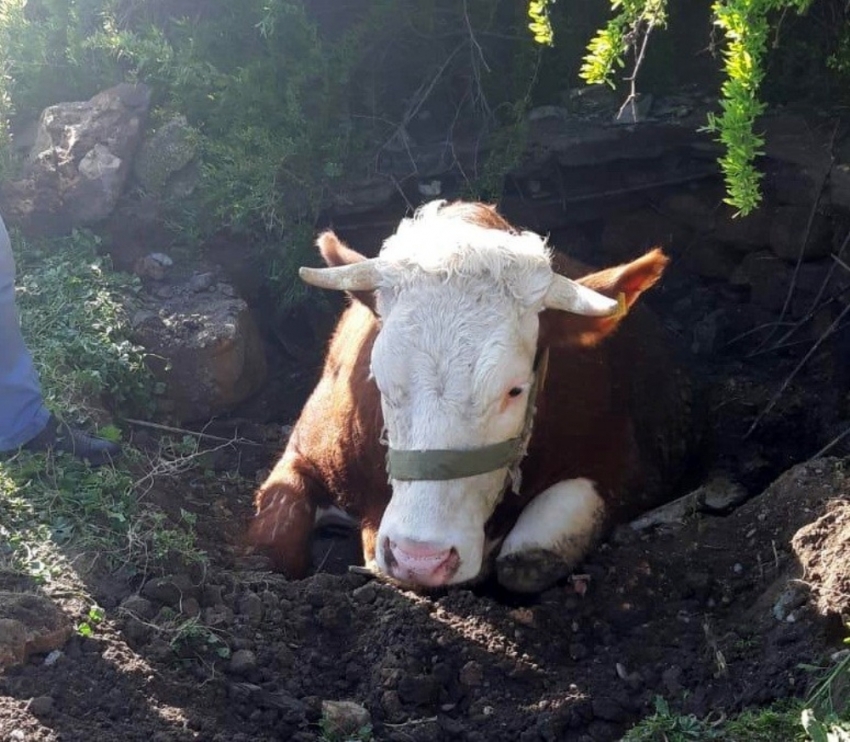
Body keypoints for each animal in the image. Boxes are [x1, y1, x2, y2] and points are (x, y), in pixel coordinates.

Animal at [247, 201, 696, 596]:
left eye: (515, 389)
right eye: (382, 380)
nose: (419, 557)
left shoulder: (629, 466)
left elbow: (528, 558)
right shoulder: (303, 448)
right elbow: (273, 542)